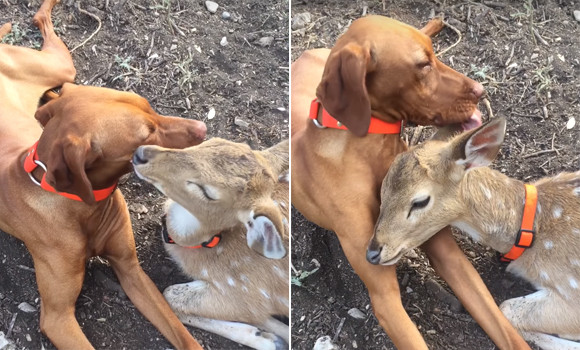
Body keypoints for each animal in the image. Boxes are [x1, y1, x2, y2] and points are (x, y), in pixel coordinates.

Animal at [0, 1, 206, 348]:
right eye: (146, 133)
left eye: (150, 106)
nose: (202, 128)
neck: (83, 205)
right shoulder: (58, 318)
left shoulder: (131, 269)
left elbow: (183, 336)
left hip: (60, 72)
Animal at [292, 15, 528, 348]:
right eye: (423, 65)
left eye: (434, 54)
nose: (481, 90)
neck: (368, 149)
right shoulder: (384, 294)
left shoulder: (447, 250)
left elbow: (505, 329)